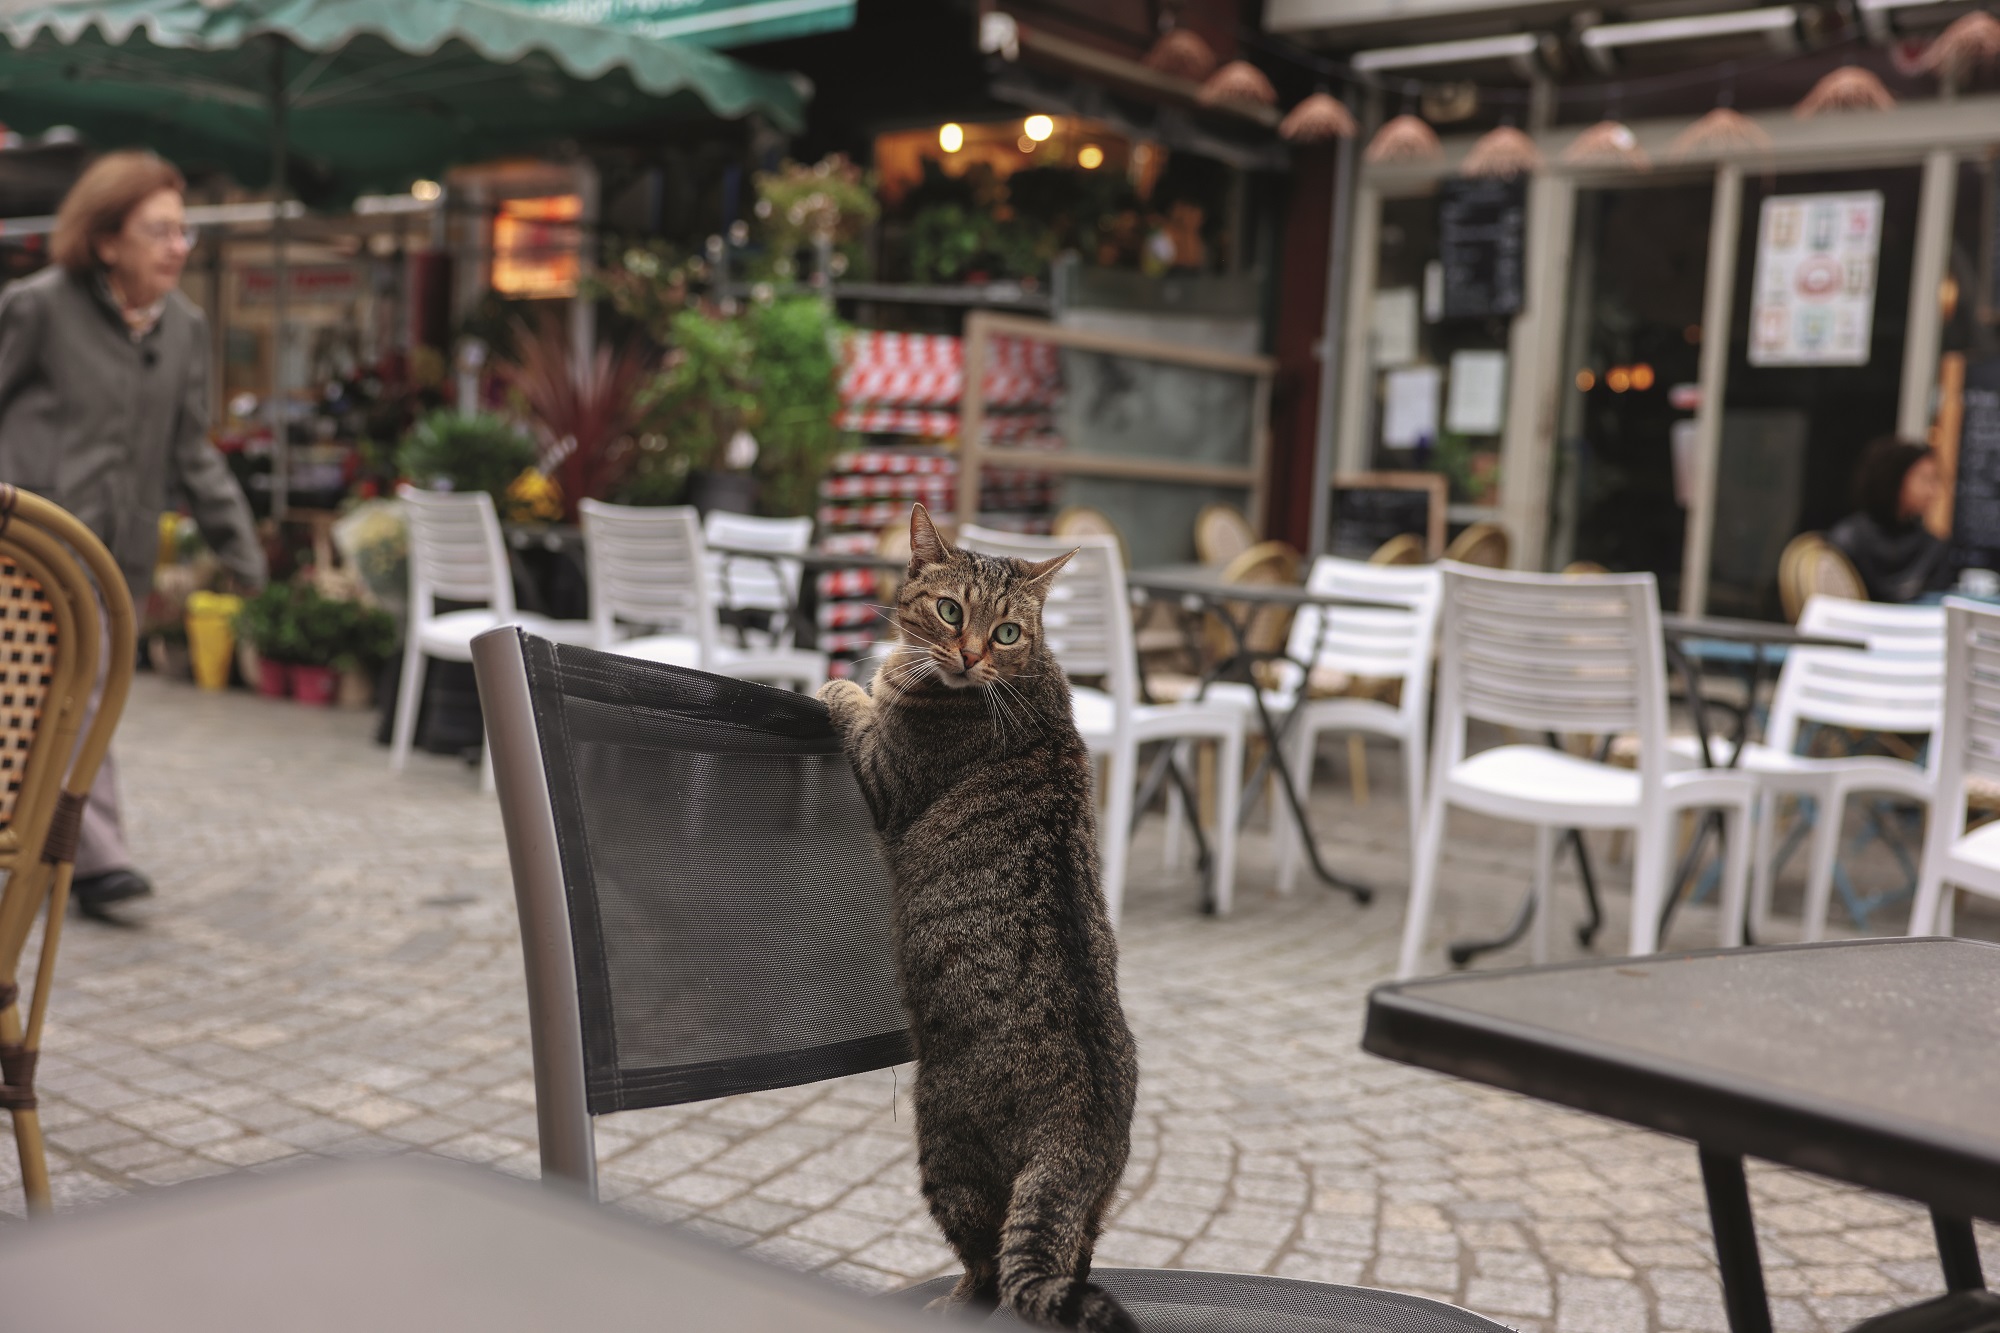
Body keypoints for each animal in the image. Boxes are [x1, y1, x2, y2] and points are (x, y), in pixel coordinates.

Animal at [820, 504, 1144, 1320]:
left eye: (1005, 631)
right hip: (1091, 1211)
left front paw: (840, 681)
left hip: (944, 1151)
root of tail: (1077, 1138)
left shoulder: (884, 775)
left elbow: (855, 701)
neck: (1027, 678)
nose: (968, 655)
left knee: (989, 1268)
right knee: (1067, 1259)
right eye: (950, 611)